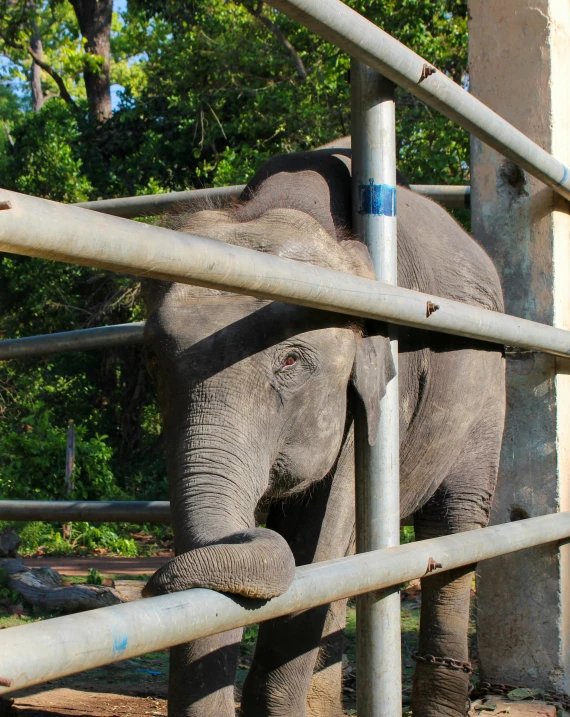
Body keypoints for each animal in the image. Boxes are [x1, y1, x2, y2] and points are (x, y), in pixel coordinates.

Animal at [141, 141, 502, 716]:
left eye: (290, 361)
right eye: (153, 359)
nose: (153, 585)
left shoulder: (378, 393)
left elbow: (320, 535)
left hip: (486, 391)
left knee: (454, 523)